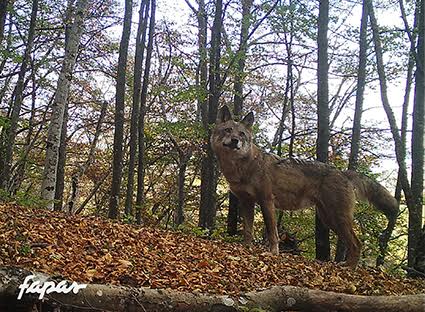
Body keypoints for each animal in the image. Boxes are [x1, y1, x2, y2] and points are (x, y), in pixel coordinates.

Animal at [210, 106, 400, 266]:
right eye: (228, 130)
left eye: (242, 134)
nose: (235, 140)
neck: (243, 166)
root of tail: (343, 172)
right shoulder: (246, 202)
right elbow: (248, 231)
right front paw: (246, 248)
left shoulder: (267, 201)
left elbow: (272, 232)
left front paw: (273, 253)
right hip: (329, 219)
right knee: (352, 243)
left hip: (337, 218)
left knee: (356, 243)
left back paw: (349, 269)